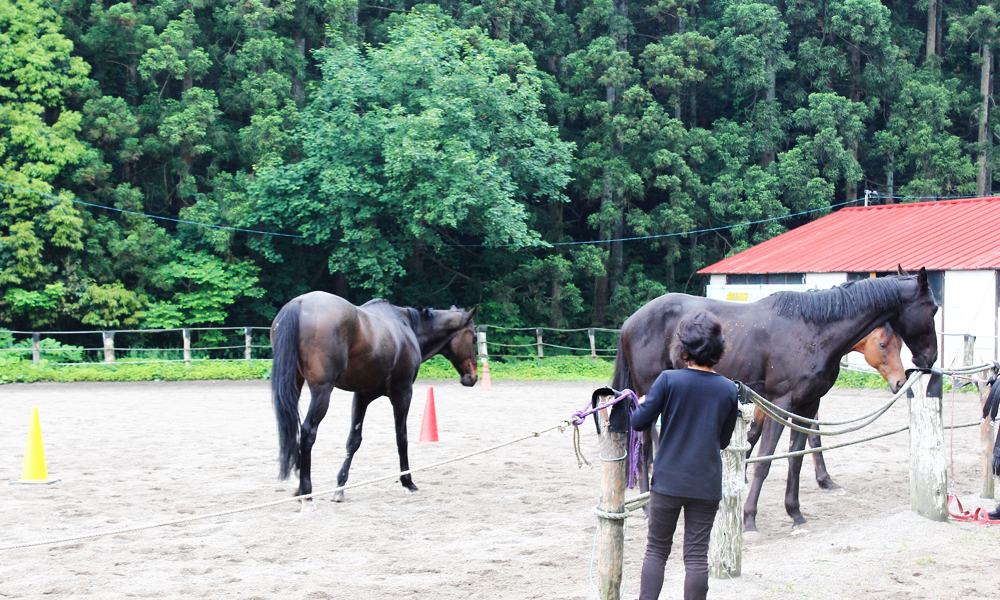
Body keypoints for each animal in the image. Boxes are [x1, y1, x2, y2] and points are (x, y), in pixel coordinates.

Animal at [272, 292, 478, 508]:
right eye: (474, 338)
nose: (473, 376)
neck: (407, 326)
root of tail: (299, 303)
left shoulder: (362, 395)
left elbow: (354, 441)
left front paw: (340, 487)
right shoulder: (403, 393)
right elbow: (401, 437)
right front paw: (408, 481)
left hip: (295, 384)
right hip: (322, 392)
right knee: (307, 432)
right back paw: (307, 493)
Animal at [608, 270, 936, 532]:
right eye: (932, 308)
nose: (928, 359)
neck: (813, 330)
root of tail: (630, 322)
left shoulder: (807, 405)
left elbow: (795, 458)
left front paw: (795, 513)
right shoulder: (783, 401)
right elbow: (764, 460)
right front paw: (749, 518)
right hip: (650, 392)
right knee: (646, 448)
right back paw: (647, 507)